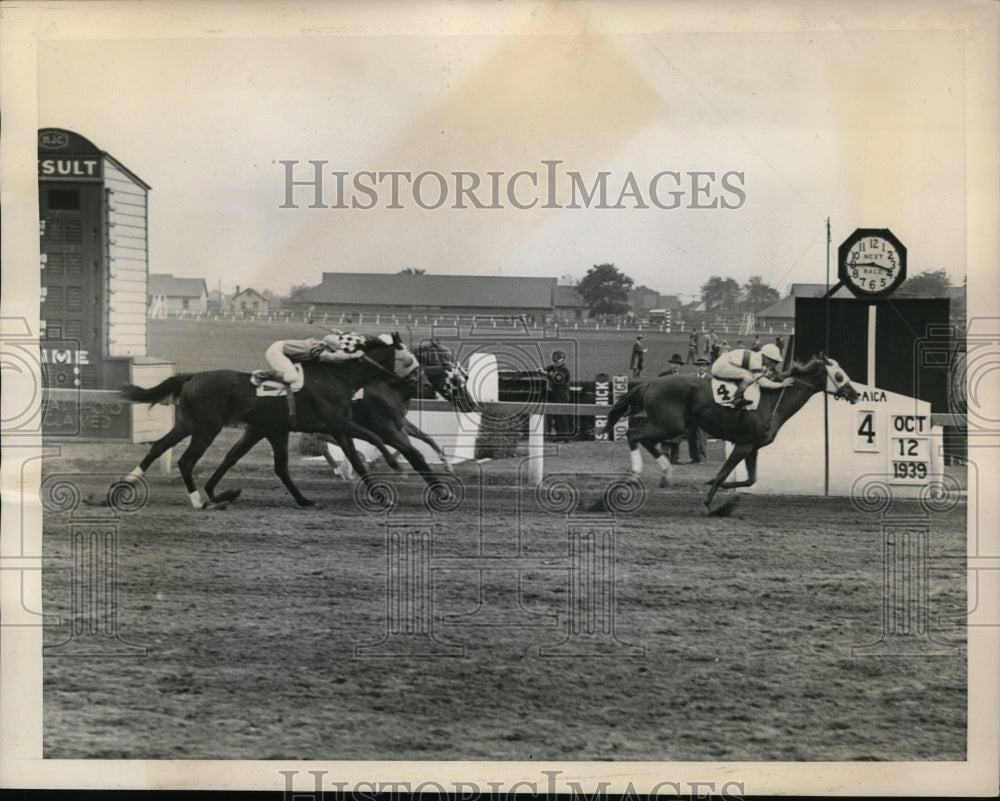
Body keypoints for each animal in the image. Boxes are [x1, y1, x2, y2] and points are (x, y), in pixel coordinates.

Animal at [120, 332, 406, 506]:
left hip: (187, 424)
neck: (338, 377)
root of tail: (191, 376)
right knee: (186, 461)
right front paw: (394, 463)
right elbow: (373, 436)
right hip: (206, 428)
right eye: (408, 358)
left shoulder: (270, 429)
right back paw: (198, 501)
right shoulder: (336, 422)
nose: (411, 381)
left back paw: (128, 483)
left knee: (158, 447)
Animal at [600, 354, 860, 506]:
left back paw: (665, 473)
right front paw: (707, 500)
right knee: (634, 435)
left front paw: (714, 484)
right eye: (839, 375)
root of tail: (650, 382)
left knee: (645, 440)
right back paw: (637, 473)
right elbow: (726, 471)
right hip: (670, 424)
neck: (772, 401)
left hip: (668, 425)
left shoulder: (753, 447)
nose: (856, 394)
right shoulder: (743, 444)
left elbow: (750, 479)